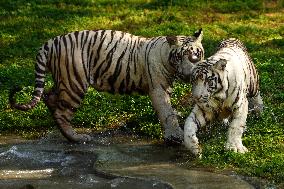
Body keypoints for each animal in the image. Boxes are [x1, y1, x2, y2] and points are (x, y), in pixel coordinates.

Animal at [9, 28, 204, 143]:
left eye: (195, 55)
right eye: (179, 57)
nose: (189, 73)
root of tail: (51, 42)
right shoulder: (158, 89)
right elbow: (167, 113)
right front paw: (175, 135)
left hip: (63, 80)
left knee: (49, 96)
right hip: (75, 83)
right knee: (61, 112)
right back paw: (77, 137)